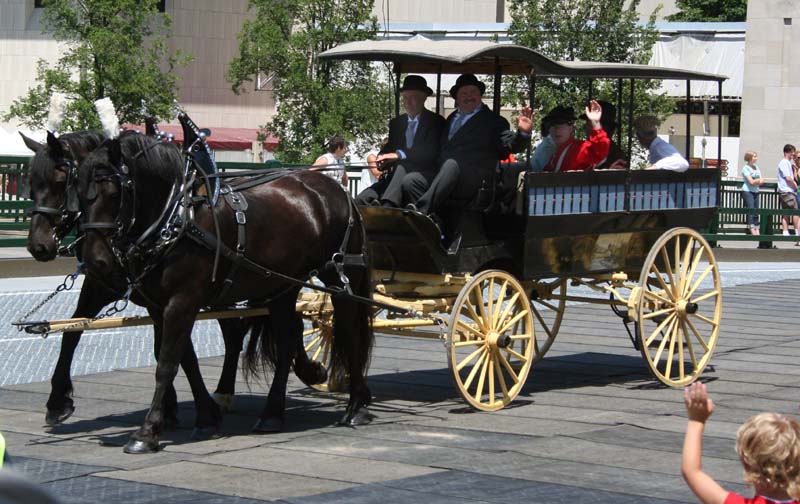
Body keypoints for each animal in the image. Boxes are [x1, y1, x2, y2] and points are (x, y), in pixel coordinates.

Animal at [22, 130, 248, 434]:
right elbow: (73, 331)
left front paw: (192, 409)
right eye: (32, 184)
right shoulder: (105, 287)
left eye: (60, 182)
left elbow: (176, 350)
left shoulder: (171, 295)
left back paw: (224, 393)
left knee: (235, 335)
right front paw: (58, 401)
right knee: (234, 334)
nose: (38, 245)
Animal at [76, 133, 374, 453]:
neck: (177, 217)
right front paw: (205, 418)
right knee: (286, 340)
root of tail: (339, 190)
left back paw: (356, 407)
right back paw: (272, 414)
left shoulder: (183, 302)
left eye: (113, 192)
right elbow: (185, 359)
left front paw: (147, 432)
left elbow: (167, 363)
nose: (95, 262)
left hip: (339, 277)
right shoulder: (159, 307)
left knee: (349, 333)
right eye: (78, 193)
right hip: (282, 285)